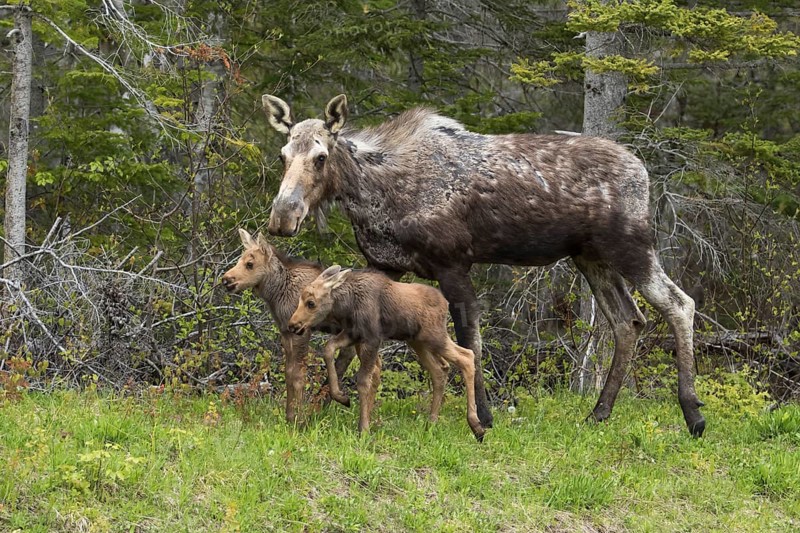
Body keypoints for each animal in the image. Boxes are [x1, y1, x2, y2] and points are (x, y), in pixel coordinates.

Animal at [221, 229, 356, 423]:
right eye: (239, 259)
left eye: (249, 264)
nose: (225, 279)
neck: (277, 293)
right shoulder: (285, 331)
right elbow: (288, 373)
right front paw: (289, 416)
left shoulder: (302, 331)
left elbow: (298, 375)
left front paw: (298, 421)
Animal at [287, 265, 486, 441]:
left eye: (311, 303)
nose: (293, 325)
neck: (346, 306)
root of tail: (446, 303)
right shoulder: (352, 334)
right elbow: (328, 349)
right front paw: (341, 397)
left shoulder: (371, 338)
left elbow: (363, 381)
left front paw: (363, 429)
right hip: (417, 341)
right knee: (440, 370)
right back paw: (431, 422)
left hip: (434, 336)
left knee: (467, 356)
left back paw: (476, 426)